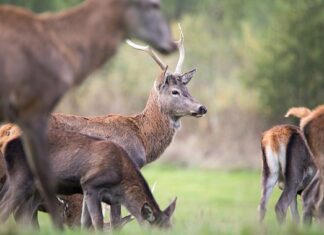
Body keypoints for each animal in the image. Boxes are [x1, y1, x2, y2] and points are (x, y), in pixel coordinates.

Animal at [0, 25, 206, 228]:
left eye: (187, 89)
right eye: (175, 91)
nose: (201, 108)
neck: (142, 138)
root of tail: (7, 130)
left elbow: (86, 220)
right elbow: (114, 219)